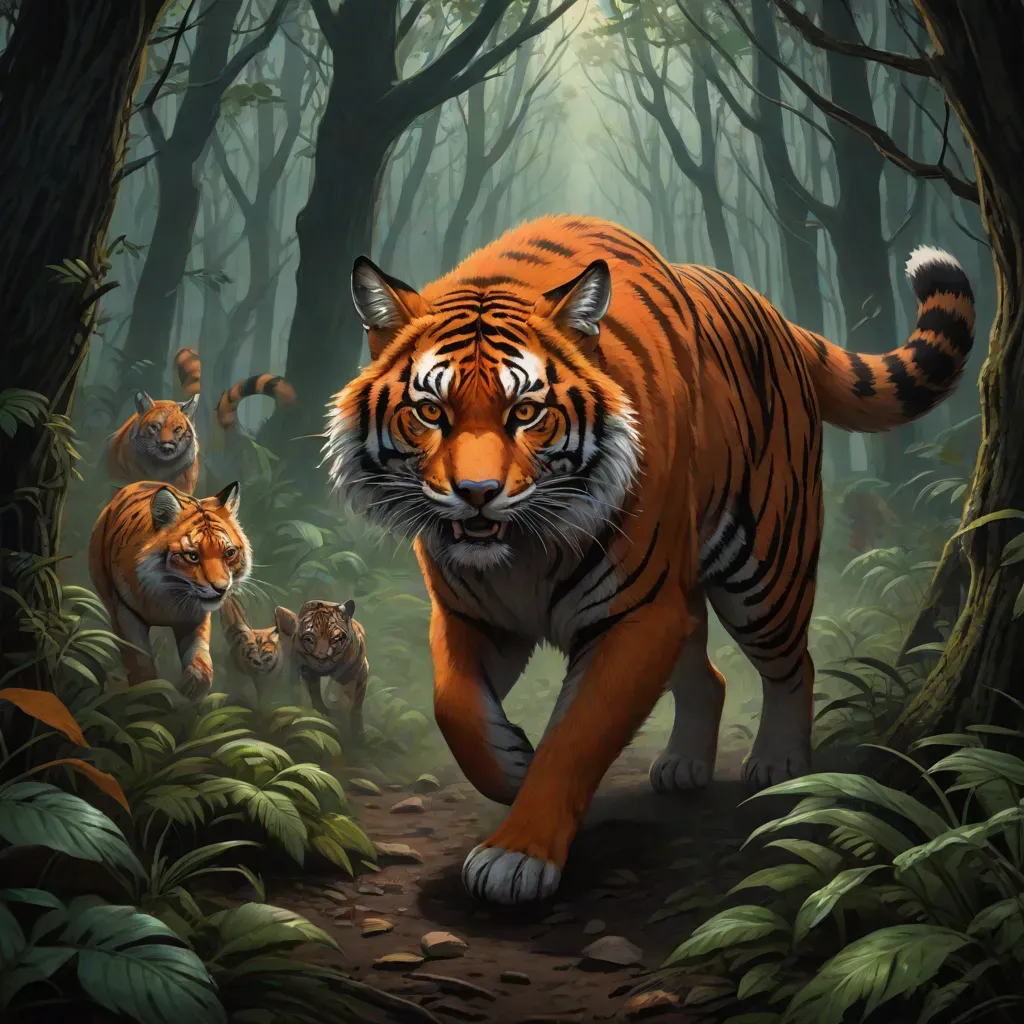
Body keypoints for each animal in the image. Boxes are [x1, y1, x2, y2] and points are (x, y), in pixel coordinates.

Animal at [88, 479, 251, 700]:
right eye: (192, 556)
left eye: (229, 553)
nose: (221, 588)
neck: (170, 596)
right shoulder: (125, 612)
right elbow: (139, 661)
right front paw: (150, 694)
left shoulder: (196, 617)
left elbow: (200, 657)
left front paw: (191, 688)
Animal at [273, 599, 368, 744]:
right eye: (309, 639)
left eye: (335, 638)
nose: (322, 658)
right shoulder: (307, 671)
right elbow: (316, 696)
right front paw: (323, 716)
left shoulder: (360, 671)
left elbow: (355, 705)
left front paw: (357, 735)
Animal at [323, 214, 975, 905]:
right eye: (430, 411)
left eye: (525, 412)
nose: (477, 494)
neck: (522, 551)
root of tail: (775, 314)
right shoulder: (470, 616)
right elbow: (453, 706)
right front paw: (510, 764)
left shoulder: (633, 618)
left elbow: (577, 737)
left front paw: (516, 854)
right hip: (682, 592)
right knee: (710, 675)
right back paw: (684, 764)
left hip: (763, 568)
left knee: (792, 664)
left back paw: (779, 763)